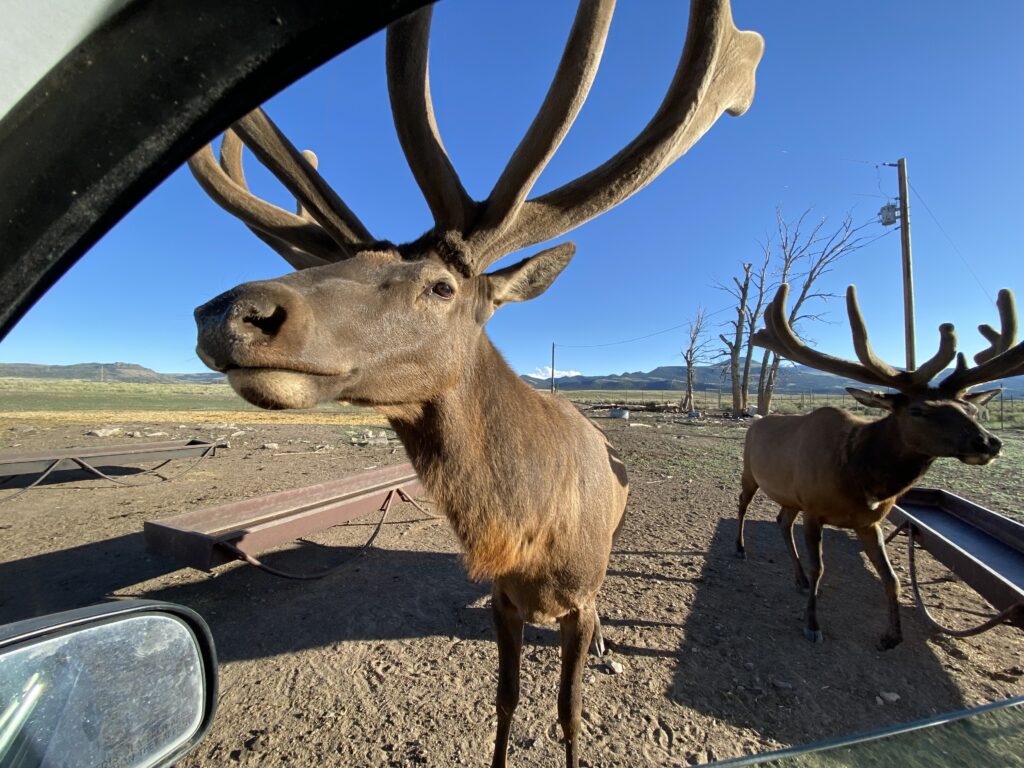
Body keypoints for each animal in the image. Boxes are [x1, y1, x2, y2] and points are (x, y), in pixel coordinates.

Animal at [188, 3, 765, 765]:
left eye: (441, 285)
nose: (231, 312)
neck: (525, 531)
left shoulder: (578, 600)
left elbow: (569, 713)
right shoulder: (502, 602)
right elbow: (507, 702)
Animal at [737, 282, 1015, 651]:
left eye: (970, 410)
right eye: (918, 410)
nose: (988, 443)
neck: (861, 478)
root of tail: (755, 422)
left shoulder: (869, 522)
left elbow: (892, 577)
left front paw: (891, 636)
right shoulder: (814, 509)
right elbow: (819, 568)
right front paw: (812, 623)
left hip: (789, 496)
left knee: (783, 522)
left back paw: (797, 578)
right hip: (751, 474)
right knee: (743, 506)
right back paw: (741, 548)